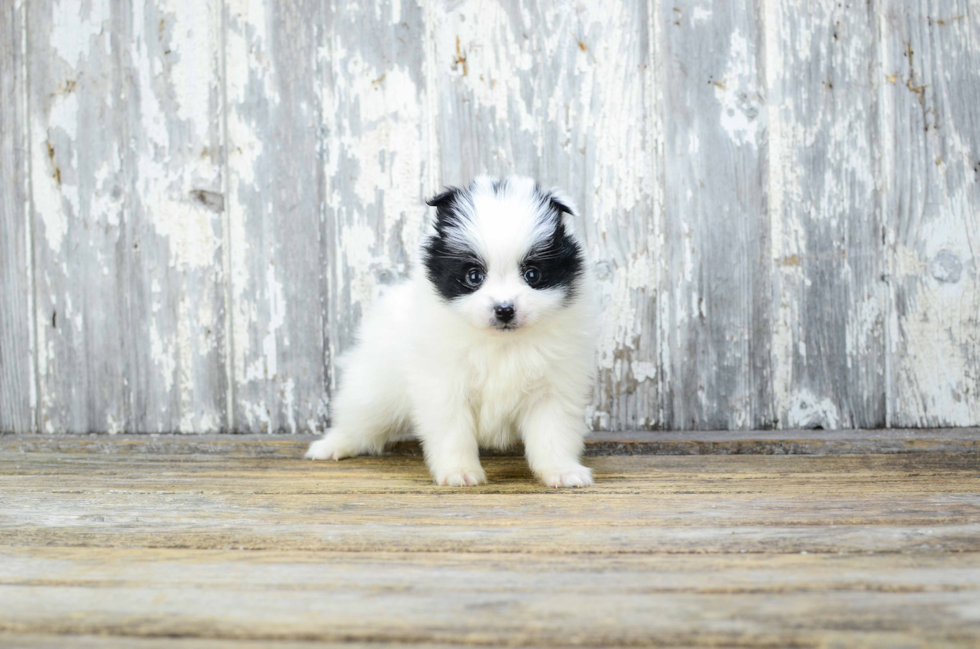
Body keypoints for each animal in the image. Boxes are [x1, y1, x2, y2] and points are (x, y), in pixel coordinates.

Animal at [306, 175, 596, 484]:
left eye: (532, 275)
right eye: (474, 276)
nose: (505, 309)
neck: (500, 343)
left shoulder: (553, 387)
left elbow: (553, 432)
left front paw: (562, 471)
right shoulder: (443, 384)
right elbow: (452, 432)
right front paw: (460, 472)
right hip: (374, 390)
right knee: (358, 421)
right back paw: (330, 446)